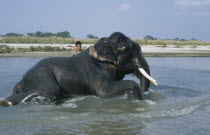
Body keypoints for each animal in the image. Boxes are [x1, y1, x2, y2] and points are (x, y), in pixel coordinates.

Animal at [0, 31, 158, 106]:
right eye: (130, 50)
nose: (143, 97)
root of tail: (20, 83)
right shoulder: (100, 69)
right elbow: (104, 91)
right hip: (39, 76)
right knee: (51, 90)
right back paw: (6, 102)